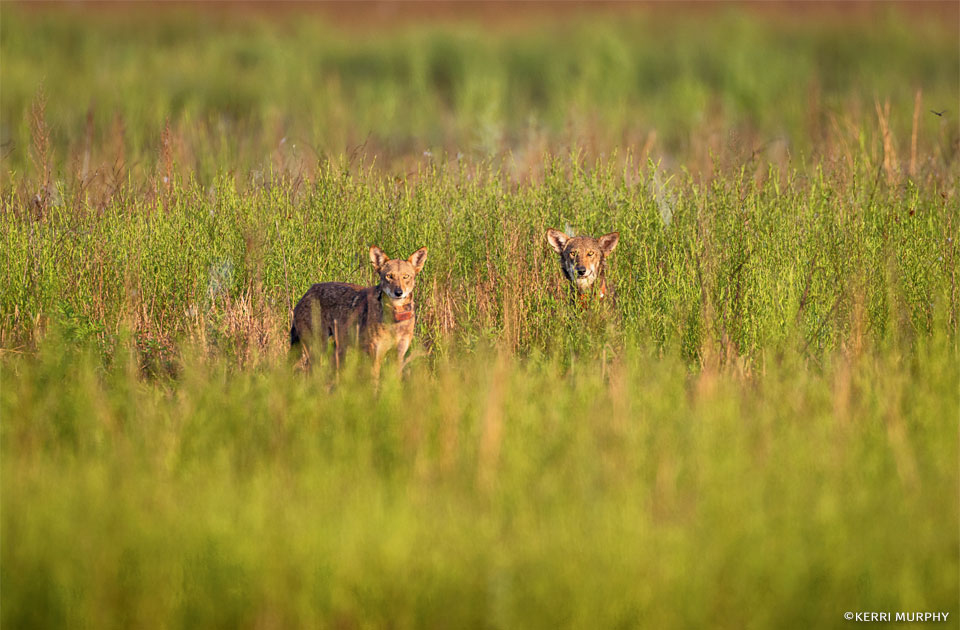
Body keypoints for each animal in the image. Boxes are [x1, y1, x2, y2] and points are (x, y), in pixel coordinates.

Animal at [290, 245, 427, 378]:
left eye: (406, 276)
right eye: (389, 276)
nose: (398, 292)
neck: (395, 318)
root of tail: (306, 293)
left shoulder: (398, 357)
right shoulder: (375, 357)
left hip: (338, 350)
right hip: (319, 350)